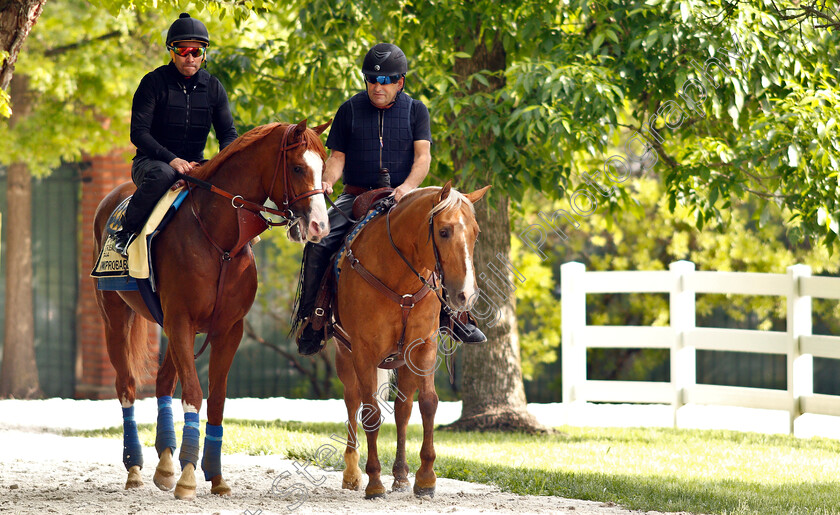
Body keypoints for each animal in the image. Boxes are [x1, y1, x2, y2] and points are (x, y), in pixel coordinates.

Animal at [92, 120, 328, 500]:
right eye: (296, 167)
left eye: (324, 165)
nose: (320, 226)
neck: (219, 241)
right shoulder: (182, 321)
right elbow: (193, 394)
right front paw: (189, 476)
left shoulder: (228, 329)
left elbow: (216, 399)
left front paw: (215, 476)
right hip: (115, 316)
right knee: (126, 386)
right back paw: (135, 468)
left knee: (162, 382)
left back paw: (165, 464)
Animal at [334, 182, 492, 500]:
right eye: (443, 231)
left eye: (476, 232)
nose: (466, 295)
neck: (399, 277)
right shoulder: (363, 352)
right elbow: (370, 414)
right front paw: (374, 482)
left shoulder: (424, 347)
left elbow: (428, 403)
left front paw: (426, 478)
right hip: (344, 354)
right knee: (353, 401)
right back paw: (352, 472)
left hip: (403, 361)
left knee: (403, 410)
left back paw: (401, 475)